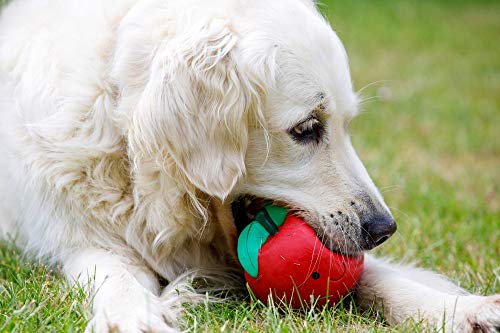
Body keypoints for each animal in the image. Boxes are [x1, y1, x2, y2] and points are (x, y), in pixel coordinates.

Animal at [0, 0, 498, 332]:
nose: (383, 228)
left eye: (347, 125)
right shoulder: (79, 238)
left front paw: (463, 310)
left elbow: (378, 278)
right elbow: (115, 273)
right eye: (306, 128)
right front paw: (132, 316)